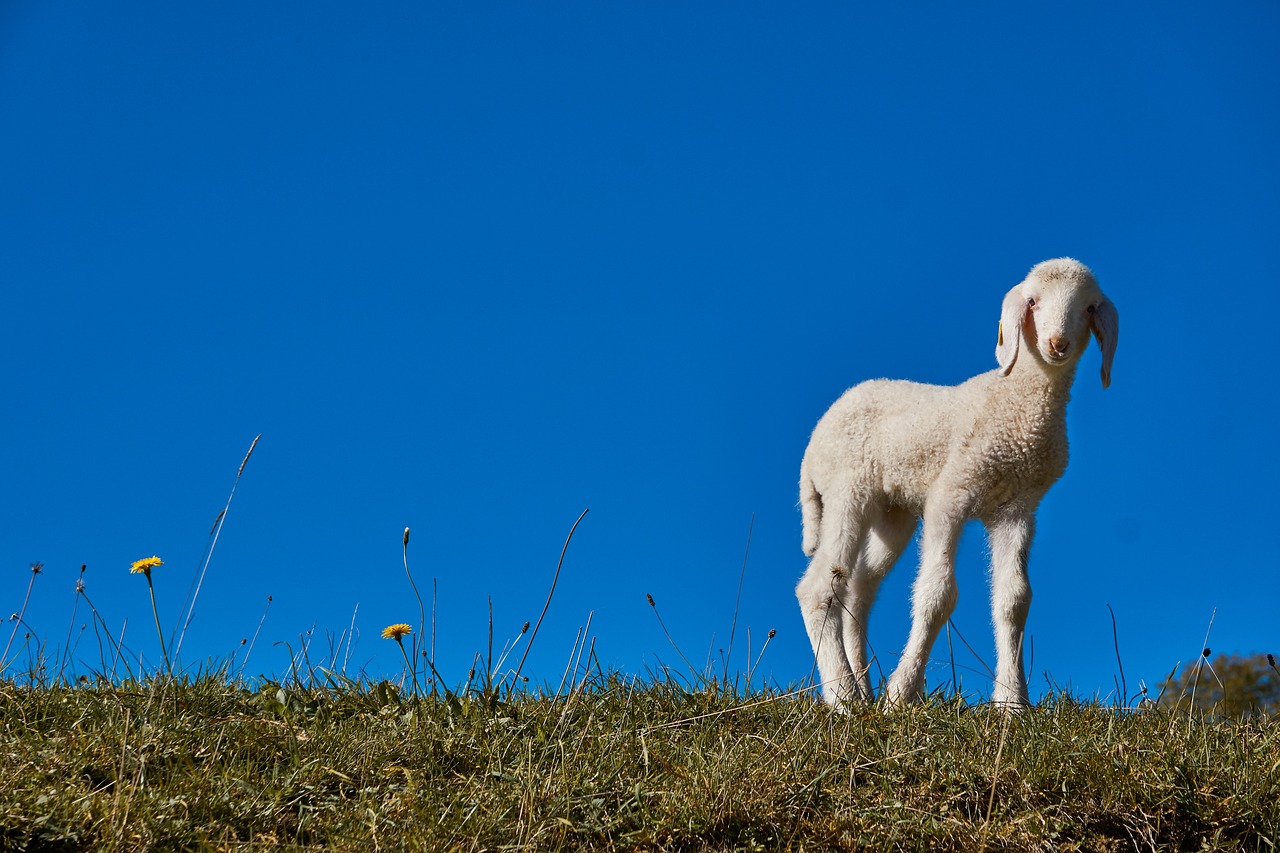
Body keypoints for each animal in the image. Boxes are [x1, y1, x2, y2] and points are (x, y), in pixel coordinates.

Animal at [793, 256, 1116, 706]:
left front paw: (1012, 703)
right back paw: (844, 697)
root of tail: (811, 446)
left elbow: (1013, 601)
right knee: (820, 587)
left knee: (858, 587)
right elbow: (938, 593)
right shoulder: (952, 493)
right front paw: (902, 693)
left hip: (893, 512)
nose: (1056, 344)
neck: (1019, 404)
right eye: (1032, 301)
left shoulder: (1017, 508)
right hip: (846, 490)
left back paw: (862, 688)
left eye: (1089, 308)